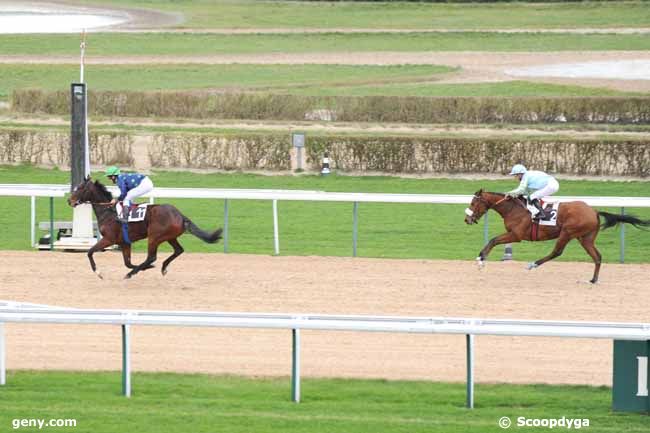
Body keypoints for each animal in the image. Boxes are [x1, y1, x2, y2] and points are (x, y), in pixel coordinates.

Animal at [67, 177, 221, 278]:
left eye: (80, 188)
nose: (69, 201)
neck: (108, 211)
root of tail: (180, 215)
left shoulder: (109, 239)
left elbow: (90, 252)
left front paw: (98, 273)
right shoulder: (124, 242)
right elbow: (127, 262)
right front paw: (141, 268)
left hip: (154, 237)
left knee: (151, 257)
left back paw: (132, 274)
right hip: (169, 237)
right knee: (178, 250)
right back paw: (162, 268)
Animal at [464, 189, 644, 284]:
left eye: (473, 203)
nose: (467, 219)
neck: (513, 209)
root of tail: (594, 211)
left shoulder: (516, 235)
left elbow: (493, 240)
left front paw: (481, 260)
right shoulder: (514, 234)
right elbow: (493, 240)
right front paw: (481, 259)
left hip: (567, 232)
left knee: (557, 252)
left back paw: (533, 264)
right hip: (585, 238)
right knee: (597, 256)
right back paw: (593, 280)